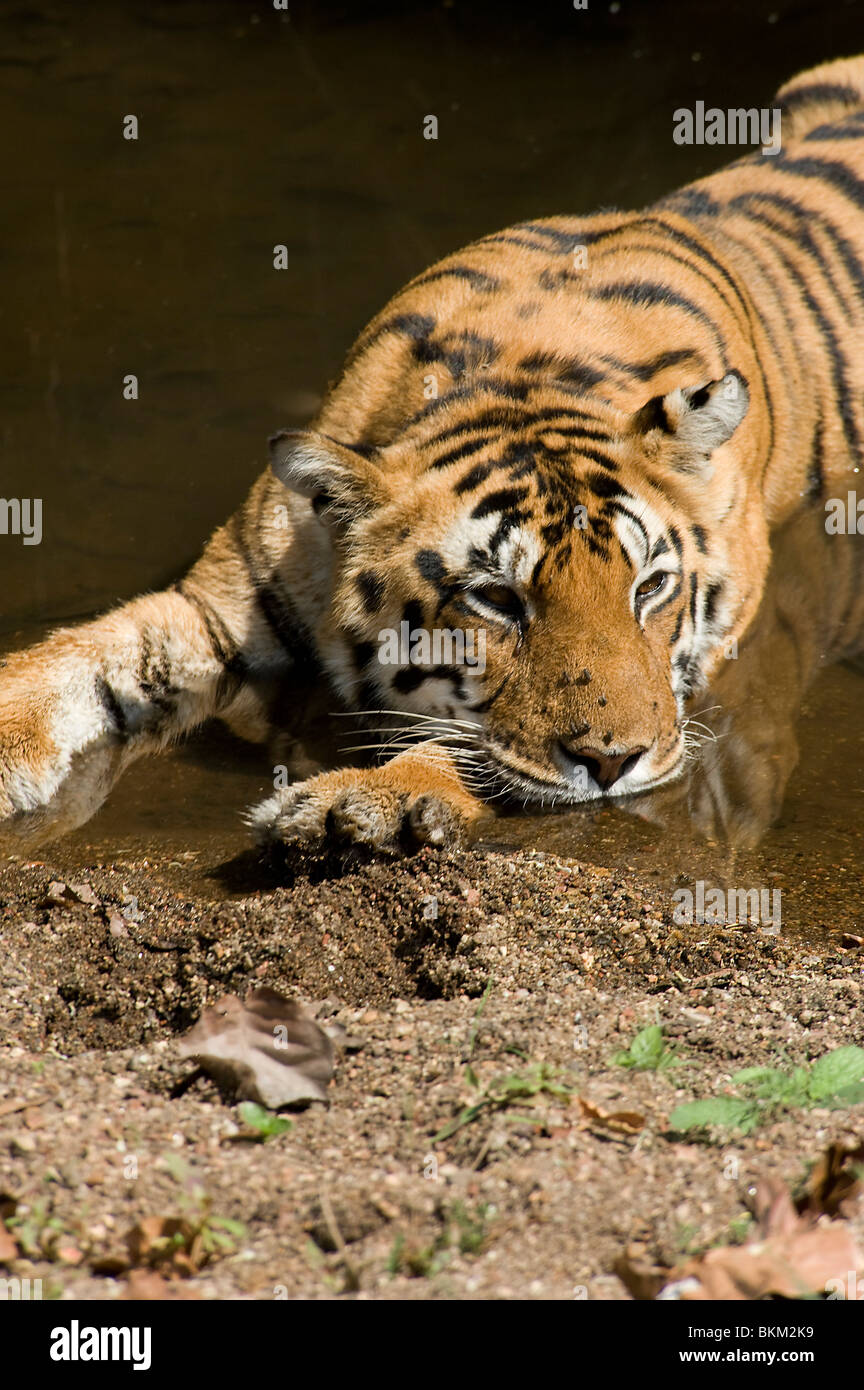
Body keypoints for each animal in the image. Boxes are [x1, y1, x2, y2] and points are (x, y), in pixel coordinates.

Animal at [1, 59, 864, 850]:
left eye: (650, 588)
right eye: (498, 600)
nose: (616, 761)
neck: (524, 370)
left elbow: (474, 751)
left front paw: (355, 803)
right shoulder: (223, 598)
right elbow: (85, 654)